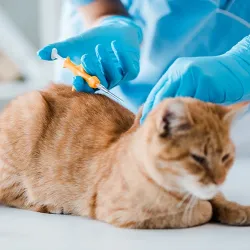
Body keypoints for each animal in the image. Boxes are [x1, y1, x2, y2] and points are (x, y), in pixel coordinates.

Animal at [0, 84, 250, 229]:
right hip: (30, 110)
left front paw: (238, 209)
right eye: (198, 158)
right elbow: (202, 210)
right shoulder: (123, 212)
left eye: (226, 157)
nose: (219, 179)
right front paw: (205, 208)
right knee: (10, 195)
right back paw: (50, 205)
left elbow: (218, 199)